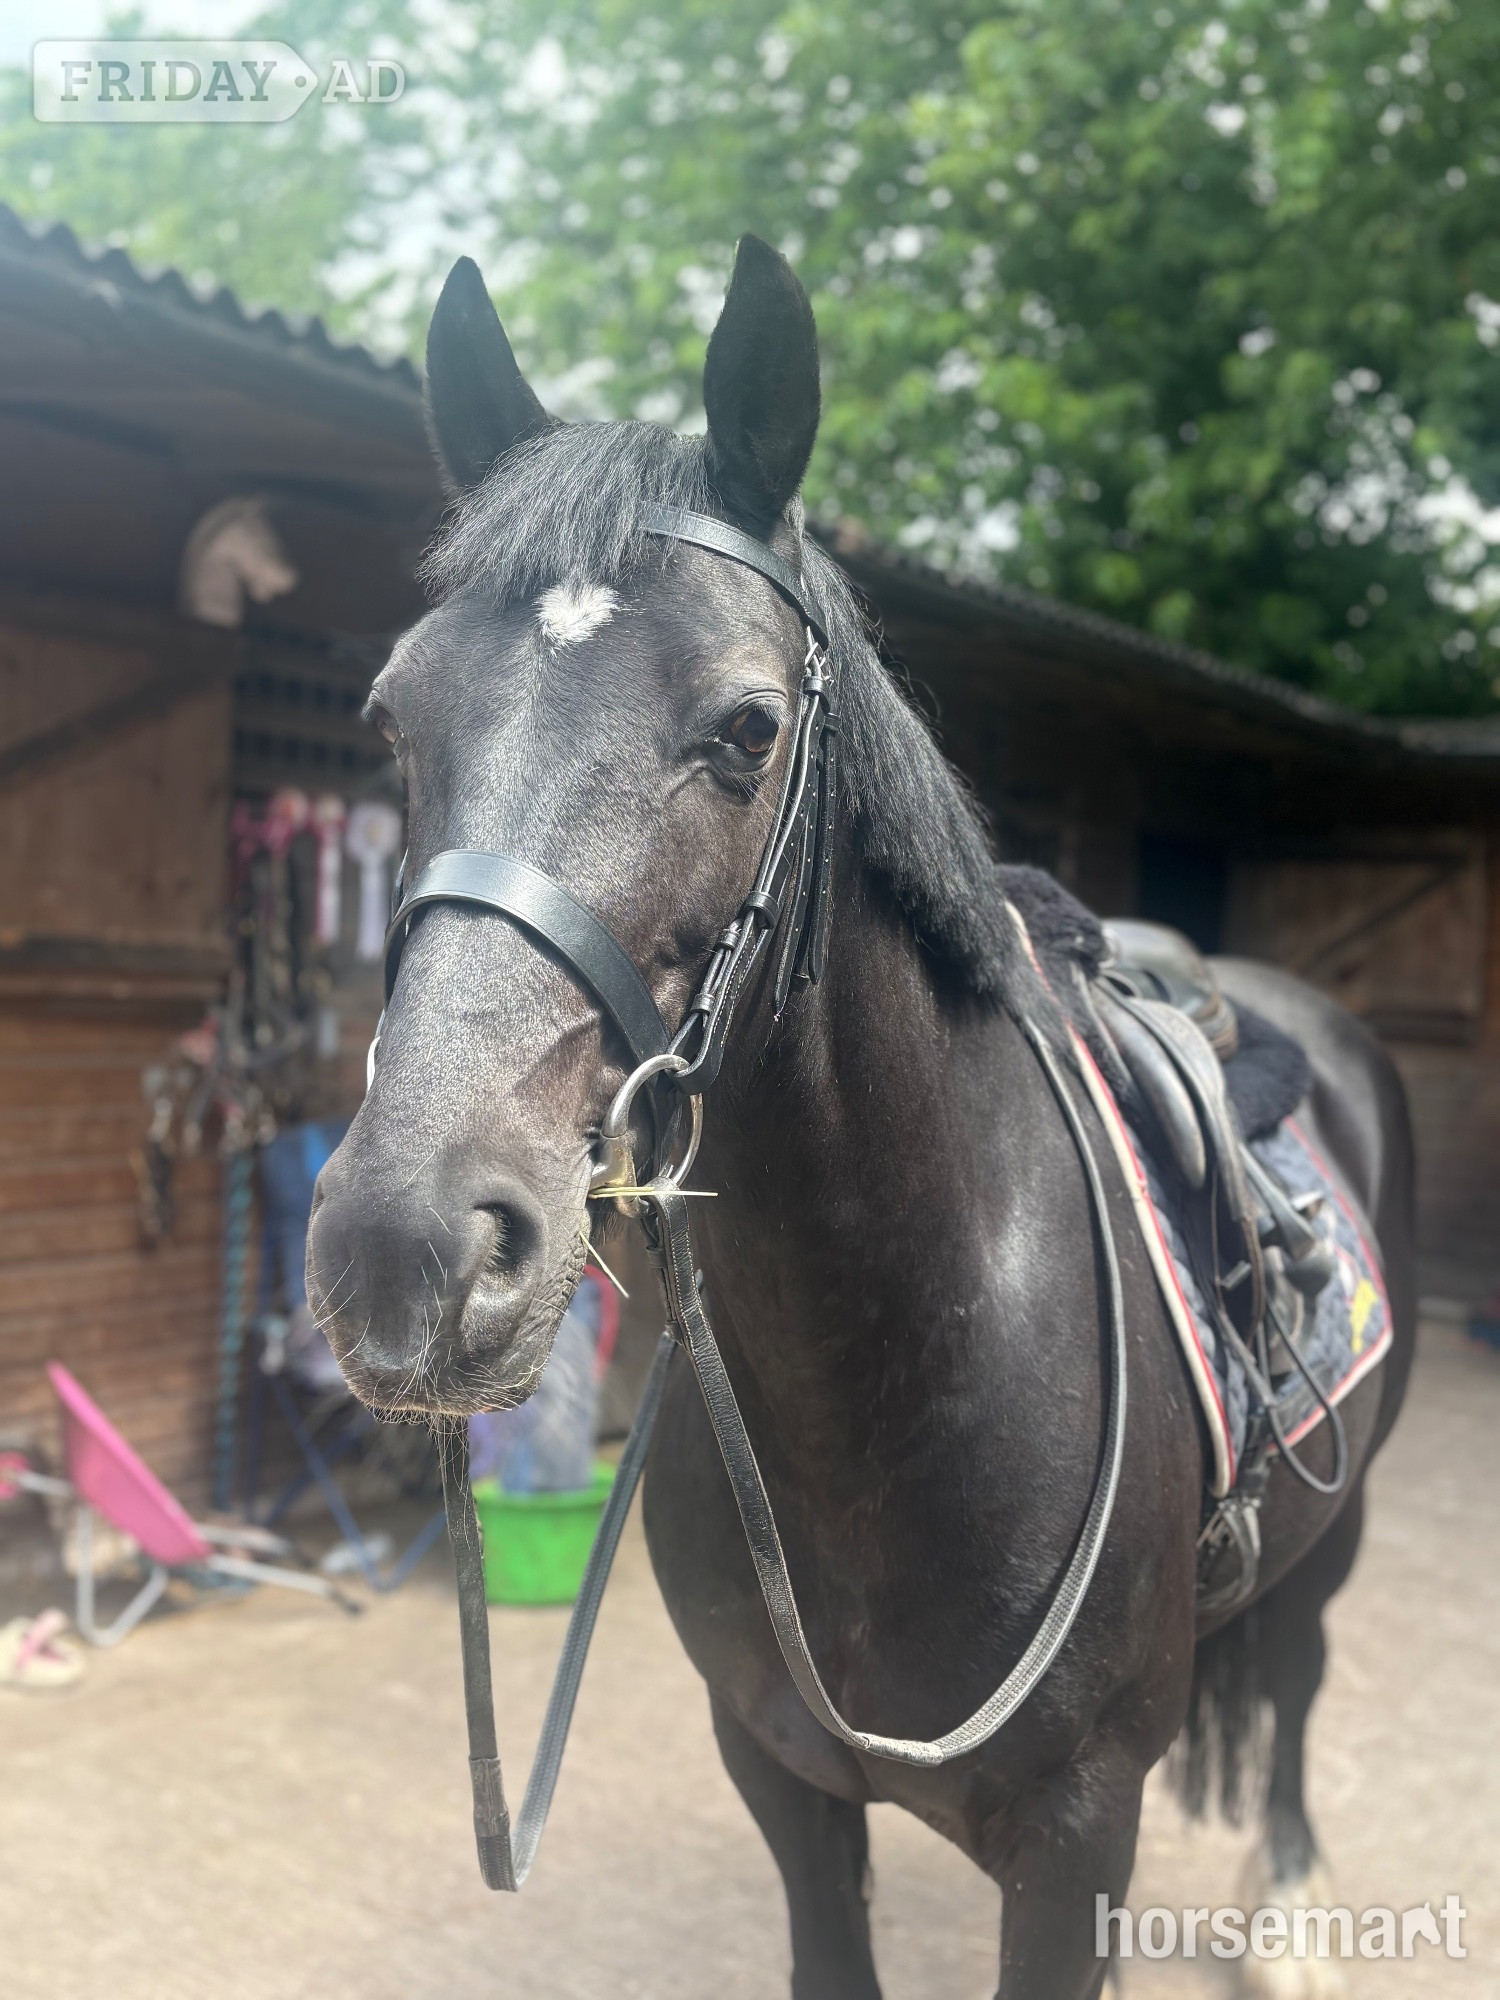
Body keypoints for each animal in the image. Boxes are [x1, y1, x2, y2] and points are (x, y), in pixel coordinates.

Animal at [307, 236, 1416, 1999]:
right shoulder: (779, 1774)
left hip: (1349, 1511)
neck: (901, 1371)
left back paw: (1295, 1912)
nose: (409, 1245)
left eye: (748, 729)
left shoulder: (1076, 1839)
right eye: (394, 720)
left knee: (1300, 1671)